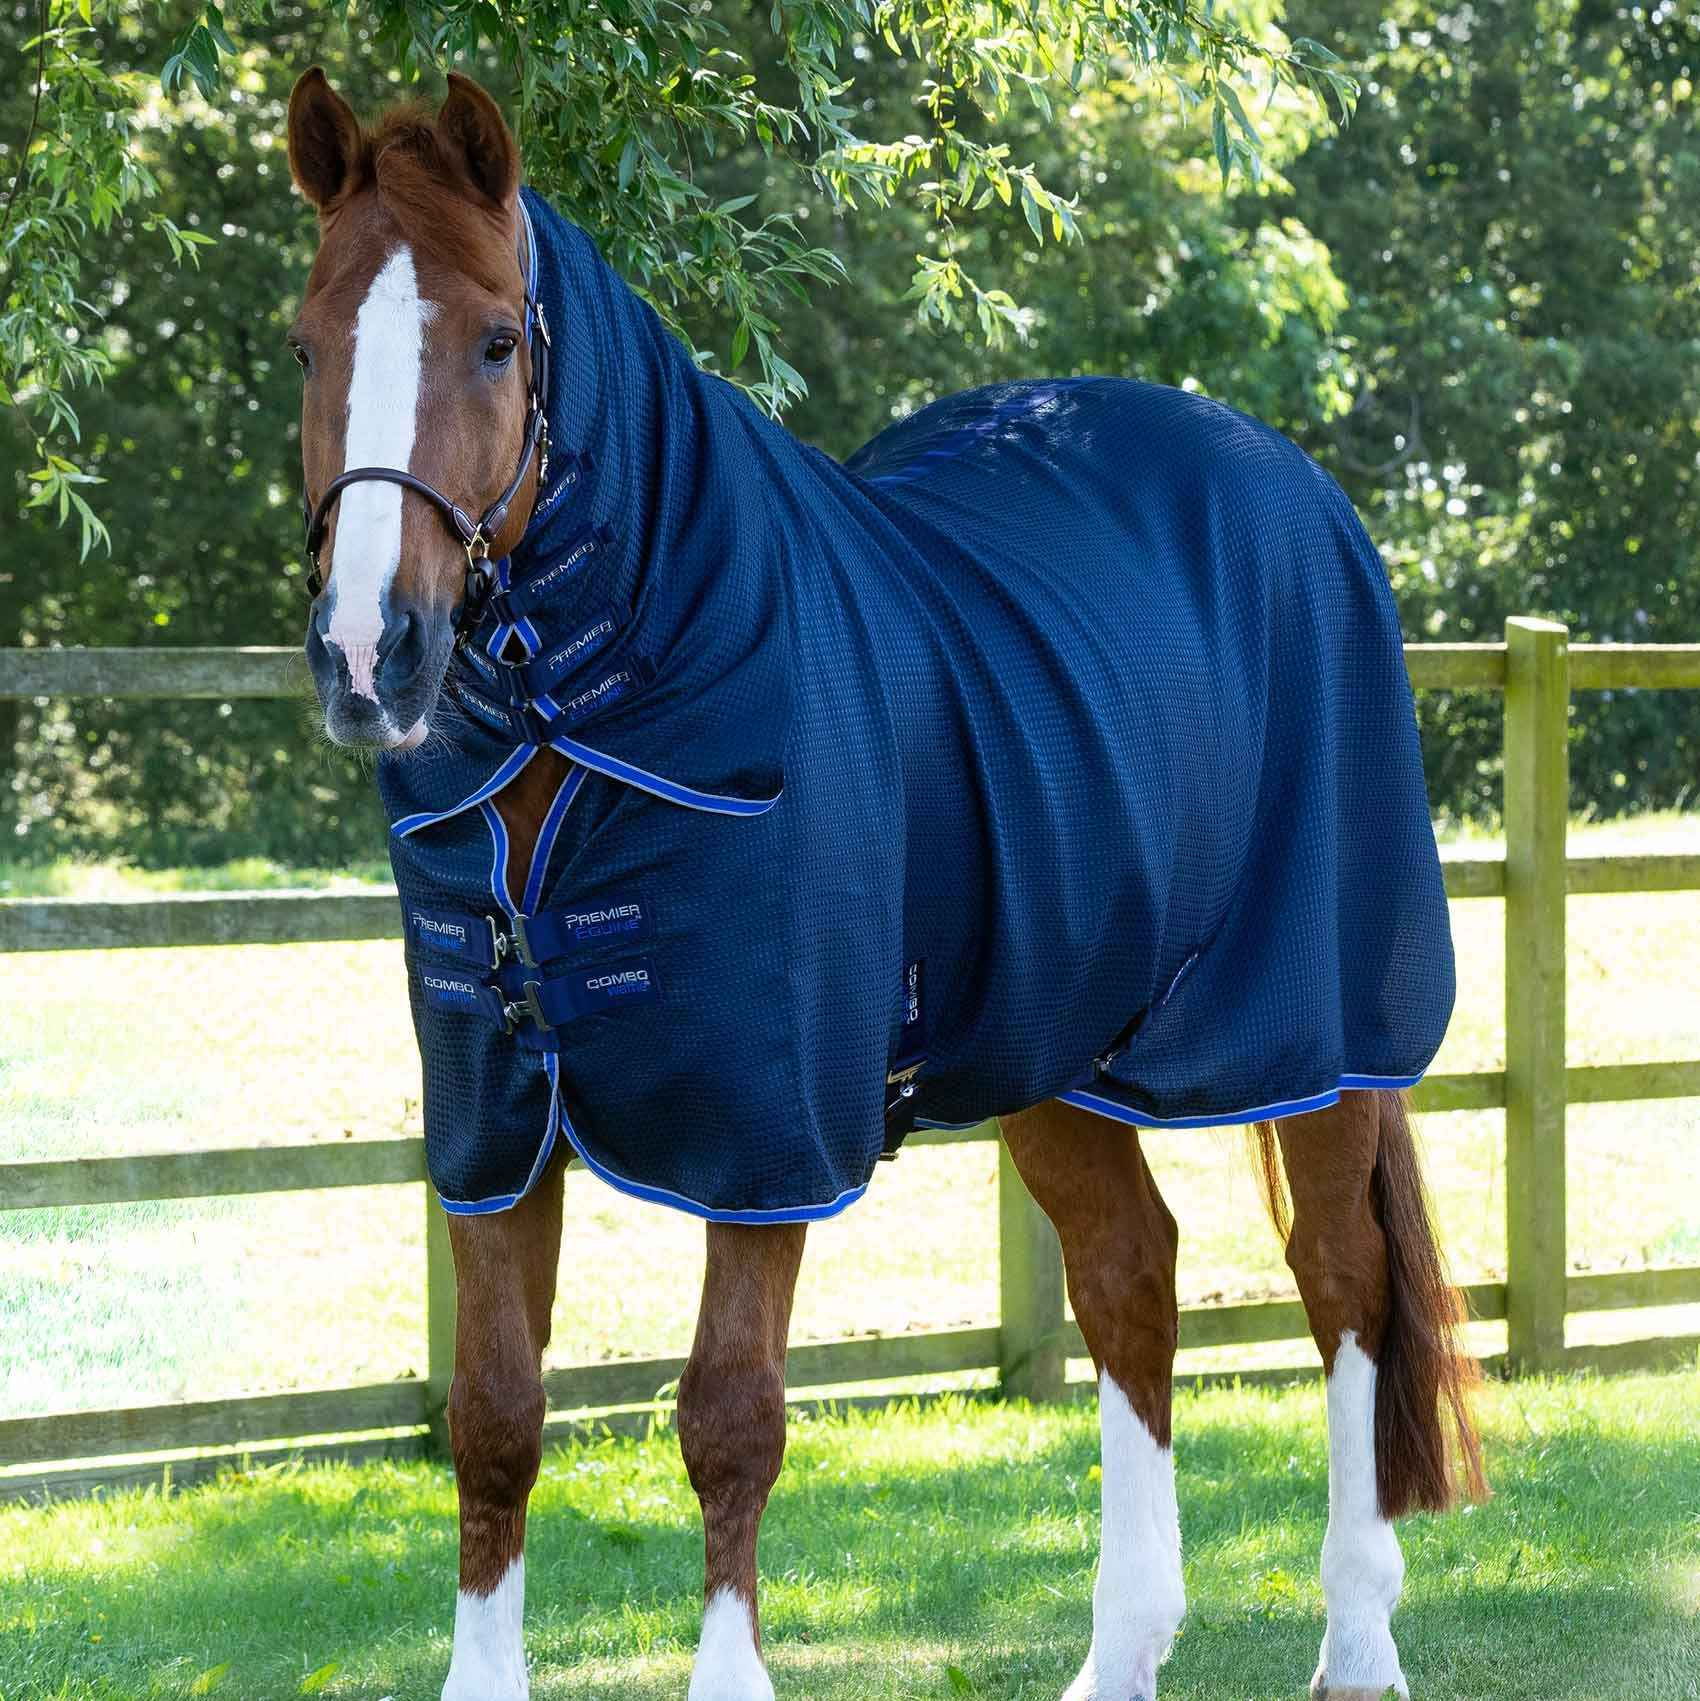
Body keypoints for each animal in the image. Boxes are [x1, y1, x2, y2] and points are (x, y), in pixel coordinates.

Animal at [284, 67, 1484, 1701]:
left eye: (490, 338)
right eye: (307, 341)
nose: (370, 653)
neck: (591, 725)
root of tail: (1289, 484)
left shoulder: (766, 1137)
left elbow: (729, 1417)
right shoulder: (495, 1127)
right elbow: (494, 1422)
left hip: (1318, 1032)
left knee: (1342, 1279)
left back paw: (1356, 1640)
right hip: (1056, 1049)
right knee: (1130, 1279)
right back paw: (1121, 1652)